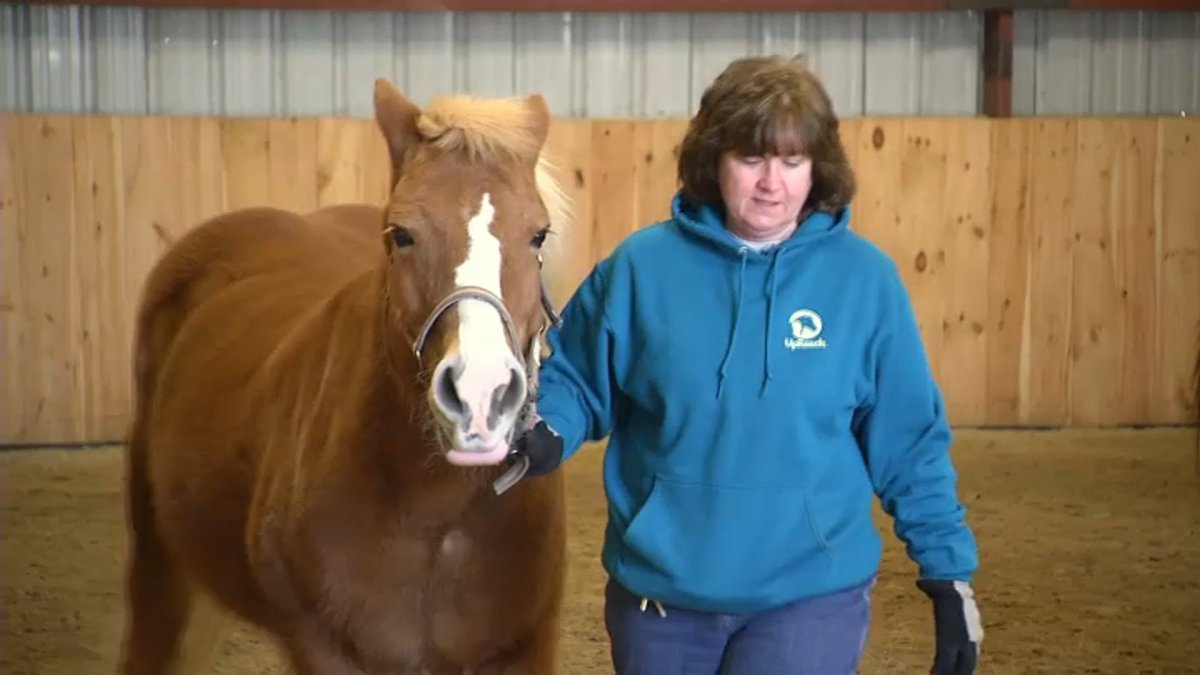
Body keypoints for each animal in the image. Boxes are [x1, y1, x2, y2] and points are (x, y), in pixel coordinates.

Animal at [118, 78, 573, 675]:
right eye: (401, 234)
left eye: (538, 235)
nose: (480, 398)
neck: (433, 519)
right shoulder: (324, 648)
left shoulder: (526, 649)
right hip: (158, 561)